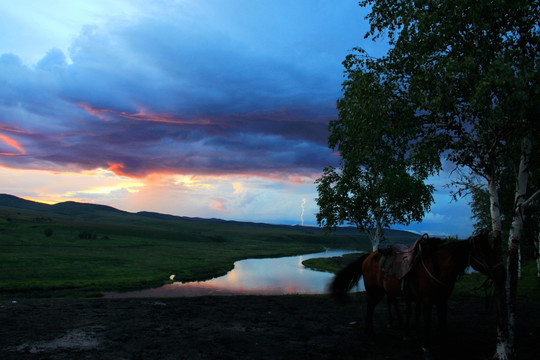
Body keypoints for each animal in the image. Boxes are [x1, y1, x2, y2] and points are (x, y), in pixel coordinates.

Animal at [332, 232, 500, 348]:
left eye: (492, 249)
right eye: (484, 252)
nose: (501, 271)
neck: (438, 266)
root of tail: (369, 256)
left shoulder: (442, 300)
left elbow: (442, 321)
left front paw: (442, 341)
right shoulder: (426, 300)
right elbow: (427, 322)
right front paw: (425, 343)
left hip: (383, 291)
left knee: (374, 307)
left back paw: (373, 331)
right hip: (374, 290)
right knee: (370, 308)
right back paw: (372, 335)